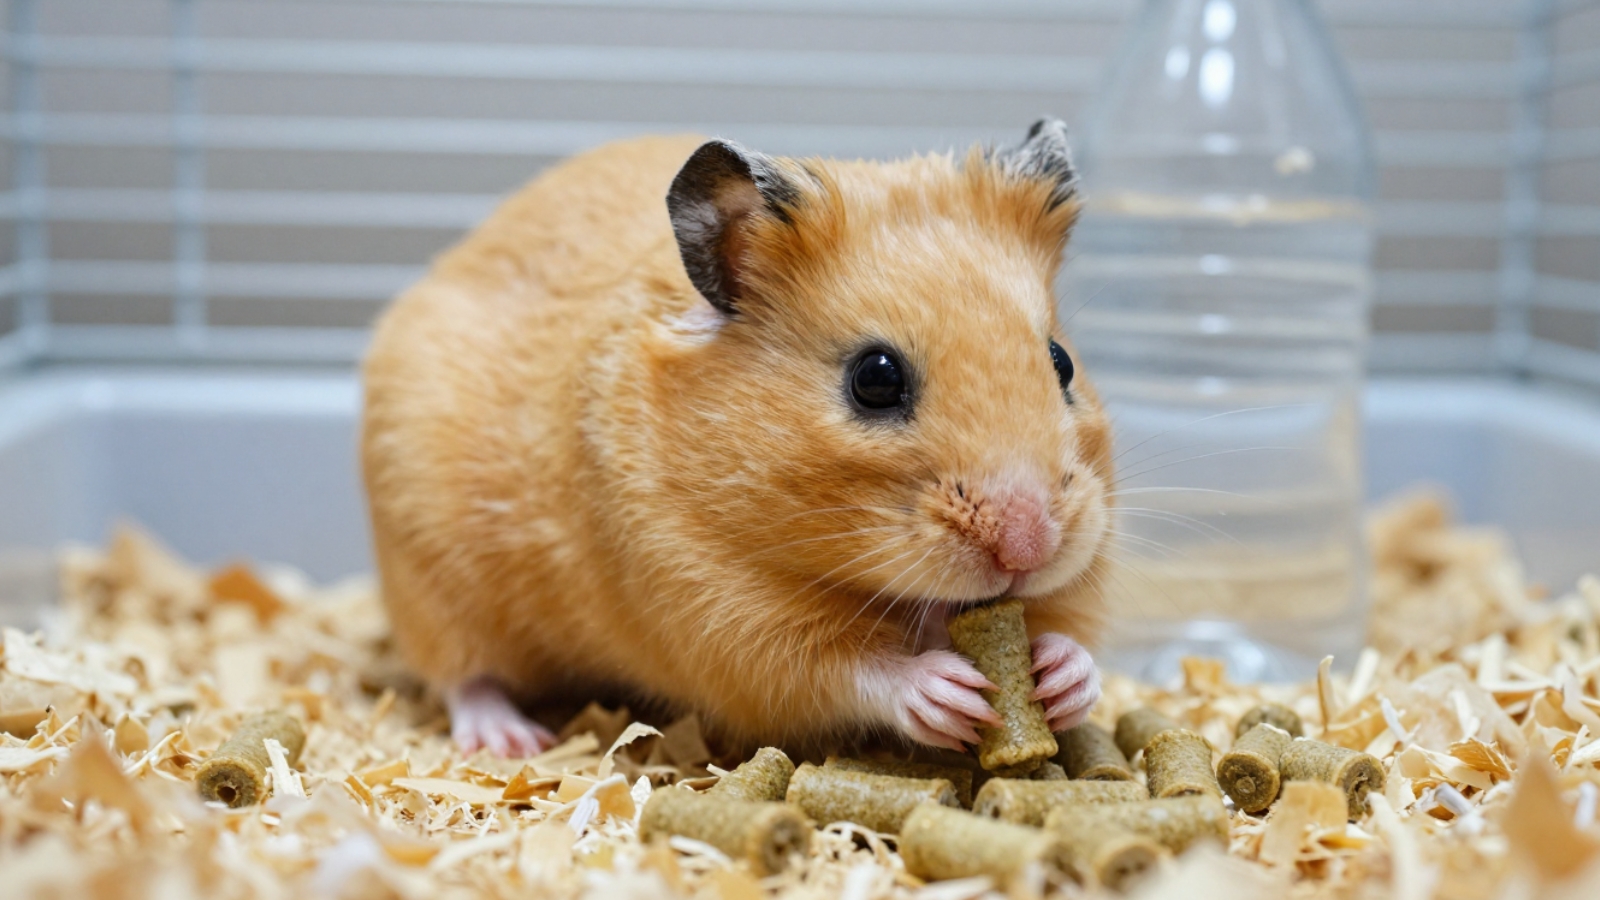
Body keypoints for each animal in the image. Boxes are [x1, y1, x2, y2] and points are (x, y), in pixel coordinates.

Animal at [361, 119, 1113, 757]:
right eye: (874, 379)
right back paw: (513, 740)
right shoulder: (723, 615)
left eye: (1061, 362)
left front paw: (1063, 677)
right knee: (462, 675)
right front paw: (947, 692)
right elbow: (849, 669)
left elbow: (1073, 632)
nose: (1028, 548)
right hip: (432, 578)